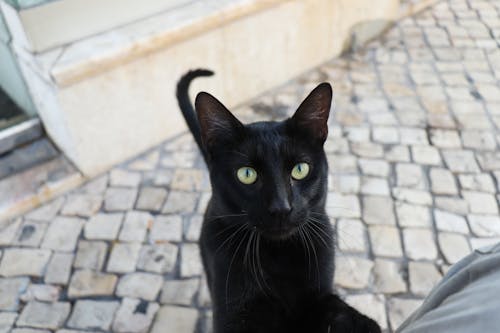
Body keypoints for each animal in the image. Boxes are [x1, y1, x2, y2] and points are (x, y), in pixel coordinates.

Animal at [178, 68, 380, 332]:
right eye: (247, 174)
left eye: (300, 169)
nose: (281, 207)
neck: (279, 255)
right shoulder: (233, 313)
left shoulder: (319, 292)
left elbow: (333, 308)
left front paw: (361, 324)